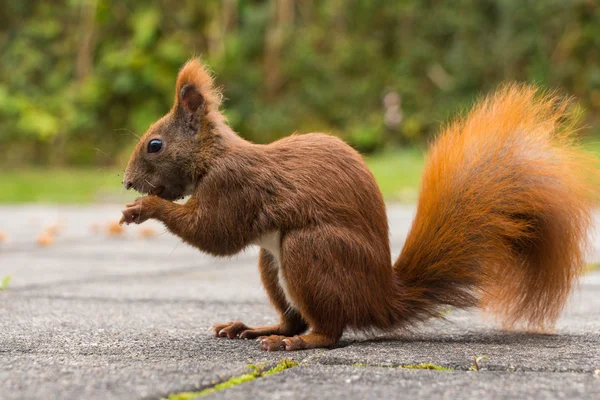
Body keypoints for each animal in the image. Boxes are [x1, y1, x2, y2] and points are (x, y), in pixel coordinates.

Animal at [119, 58, 596, 350]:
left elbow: (215, 234)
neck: (212, 156)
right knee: (295, 317)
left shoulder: (234, 187)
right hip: (272, 263)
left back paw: (295, 342)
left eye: (155, 145)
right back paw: (255, 328)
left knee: (329, 331)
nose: (126, 182)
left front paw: (145, 208)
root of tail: (379, 296)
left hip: (310, 251)